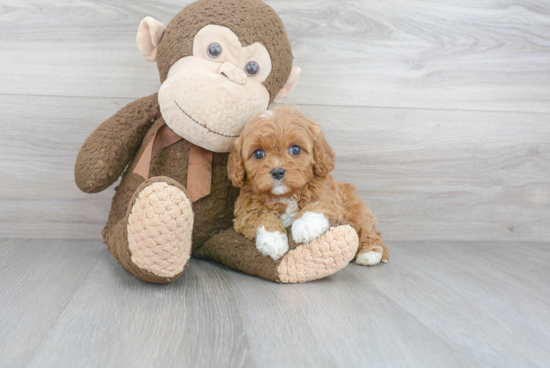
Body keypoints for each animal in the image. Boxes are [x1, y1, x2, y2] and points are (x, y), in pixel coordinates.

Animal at [226, 105, 390, 266]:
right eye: (258, 153)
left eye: (296, 149)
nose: (277, 172)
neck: (285, 195)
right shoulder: (244, 210)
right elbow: (261, 216)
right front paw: (273, 241)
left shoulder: (329, 194)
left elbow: (317, 203)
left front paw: (306, 224)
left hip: (357, 212)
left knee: (369, 230)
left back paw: (370, 253)